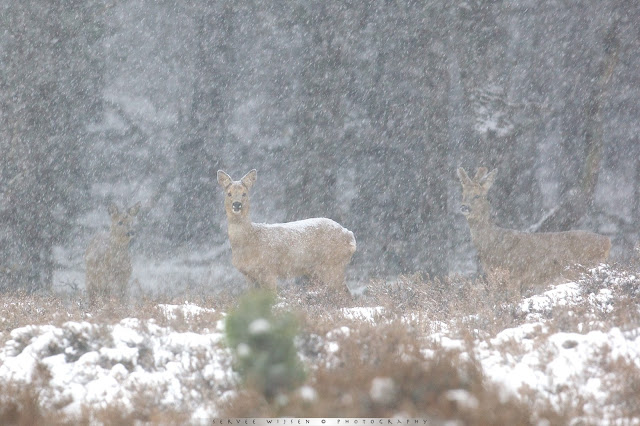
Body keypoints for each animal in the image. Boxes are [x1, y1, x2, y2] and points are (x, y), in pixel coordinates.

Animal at [215, 168, 356, 294]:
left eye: (244, 193)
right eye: (229, 193)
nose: (237, 204)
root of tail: (350, 236)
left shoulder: (269, 269)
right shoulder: (248, 275)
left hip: (332, 264)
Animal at [458, 166, 612, 292]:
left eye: (477, 195)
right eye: (463, 194)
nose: (464, 207)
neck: (494, 245)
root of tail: (607, 241)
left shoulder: (515, 275)